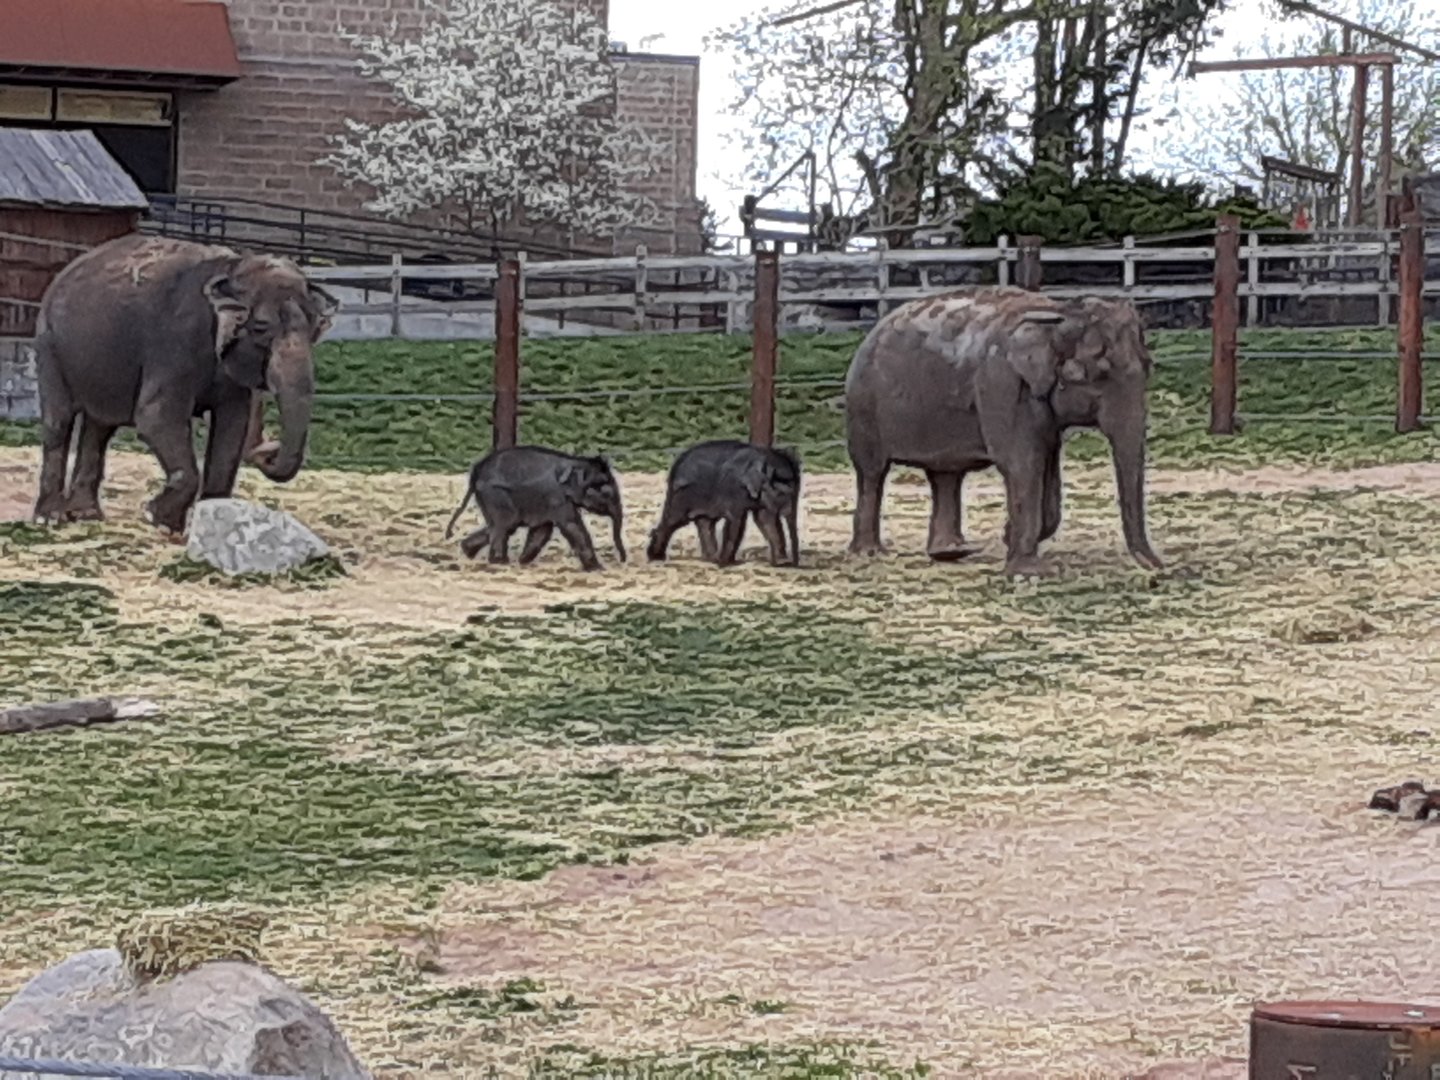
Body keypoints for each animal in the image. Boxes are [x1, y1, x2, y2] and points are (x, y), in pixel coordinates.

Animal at [30, 233, 339, 536]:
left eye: (316, 330)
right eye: (261, 328)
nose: (271, 448)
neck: (233, 268)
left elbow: (232, 427)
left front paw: (211, 517)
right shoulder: (175, 342)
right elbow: (156, 418)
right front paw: (159, 520)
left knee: (100, 427)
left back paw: (86, 515)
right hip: (49, 344)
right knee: (60, 421)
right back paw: (49, 518)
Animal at [443, 444, 627, 571]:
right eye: (605, 491)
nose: (623, 560)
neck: (575, 461)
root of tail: (475, 472)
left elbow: (542, 530)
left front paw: (522, 562)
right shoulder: (557, 497)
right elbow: (572, 526)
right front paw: (598, 569)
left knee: (499, 526)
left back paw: (468, 552)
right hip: (495, 494)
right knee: (505, 525)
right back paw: (499, 562)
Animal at [646, 439, 802, 567]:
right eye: (782, 492)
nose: (794, 564)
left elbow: (764, 519)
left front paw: (781, 563)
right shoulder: (733, 488)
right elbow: (736, 520)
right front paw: (725, 564)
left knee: (705, 522)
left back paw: (711, 559)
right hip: (682, 493)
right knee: (674, 520)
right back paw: (655, 557)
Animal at [844, 286, 1164, 577]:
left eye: (1148, 367)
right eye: (1093, 374)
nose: (1158, 568)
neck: (1057, 313)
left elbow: (1046, 460)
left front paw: (1010, 536)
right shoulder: (1001, 384)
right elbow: (1023, 462)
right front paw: (1028, 571)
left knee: (945, 474)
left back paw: (950, 552)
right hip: (863, 406)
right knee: (872, 472)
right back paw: (870, 552)